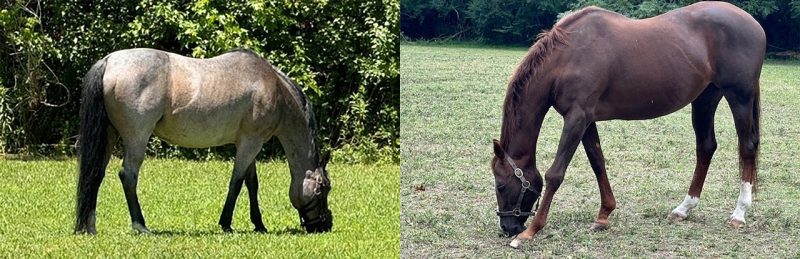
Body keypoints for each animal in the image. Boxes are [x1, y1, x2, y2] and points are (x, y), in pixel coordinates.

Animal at [76, 48, 332, 236]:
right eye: (324, 187)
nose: (325, 225)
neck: (274, 88)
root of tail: (109, 62)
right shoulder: (251, 143)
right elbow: (237, 183)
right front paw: (226, 224)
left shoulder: (247, 142)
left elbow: (251, 183)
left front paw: (259, 224)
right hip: (137, 138)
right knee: (128, 176)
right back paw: (140, 226)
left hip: (108, 135)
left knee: (95, 175)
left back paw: (89, 228)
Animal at [490, 2, 764, 250]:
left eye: (501, 185)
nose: (508, 227)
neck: (568, 56)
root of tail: (753, 23)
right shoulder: (586, 120)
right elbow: (598, 162)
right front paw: (604, 215)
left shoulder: (576, 118)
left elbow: (555, 173)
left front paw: (531, 232)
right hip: (705, 99)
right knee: (706, 148)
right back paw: (683, 208)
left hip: (739, 97)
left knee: (746, 147)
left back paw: (739, 213)